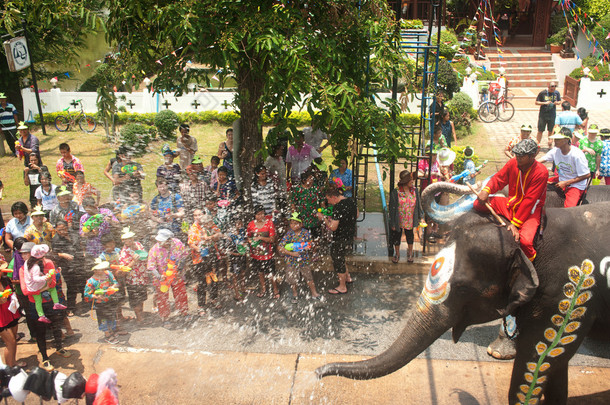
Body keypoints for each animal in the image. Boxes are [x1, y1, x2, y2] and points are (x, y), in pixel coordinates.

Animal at [316, 200, 608, 404]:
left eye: (465, 288)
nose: (318, 372)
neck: (528, 242)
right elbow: (555, 364)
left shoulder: (565, 297)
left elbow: (539, 360)